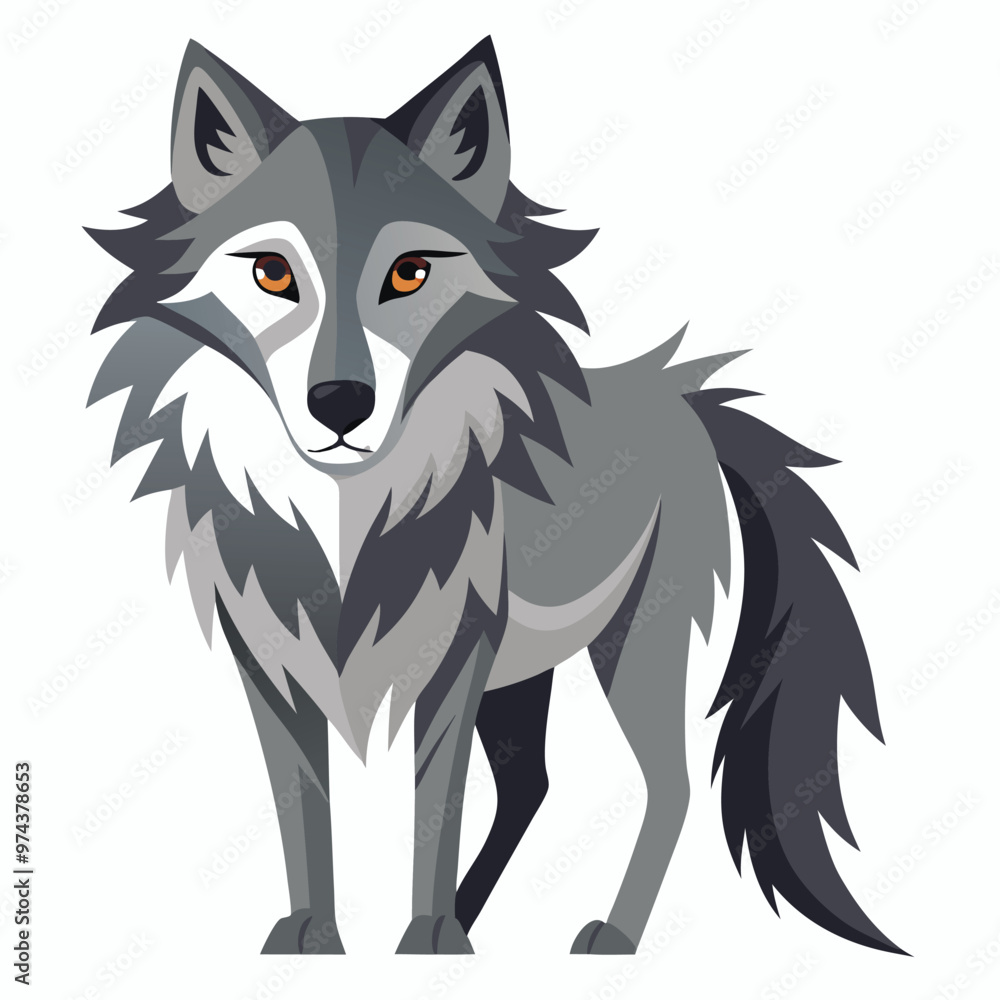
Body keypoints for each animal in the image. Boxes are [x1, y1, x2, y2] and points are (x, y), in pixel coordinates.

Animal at [86, 37, 903, 956]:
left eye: (410, 274)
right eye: (270, 273)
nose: (340, 403)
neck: (345, 517)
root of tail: (681, 394)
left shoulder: (455, 660)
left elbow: (432, 811)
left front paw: (426, 938)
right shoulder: (272, 660)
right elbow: (304, 809)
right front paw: (316, 939)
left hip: (632, 645)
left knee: (670, 785)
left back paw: (607, 937)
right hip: (528, 673)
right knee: (532, 785)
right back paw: (479, 919)